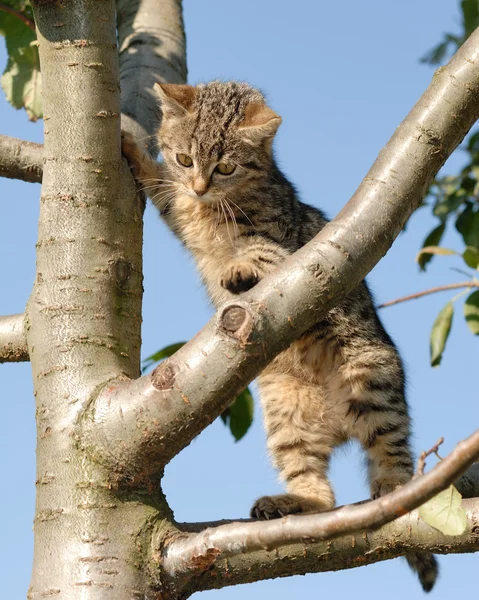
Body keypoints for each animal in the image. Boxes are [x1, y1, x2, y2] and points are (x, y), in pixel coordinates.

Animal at [123, 79, 438, 592]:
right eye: (185, 159)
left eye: (225, 166)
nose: (199, 186)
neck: (213, 208)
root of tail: (337, 422)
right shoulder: (179, 208)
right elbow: (160, 188)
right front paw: (133, 150)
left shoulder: (280, 237)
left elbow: (259, 250)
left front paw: (237, 268)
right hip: (286, 415)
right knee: (321, 492)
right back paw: (294, 502)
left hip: (373, 381)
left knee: (394, 454)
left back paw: (392, 487)